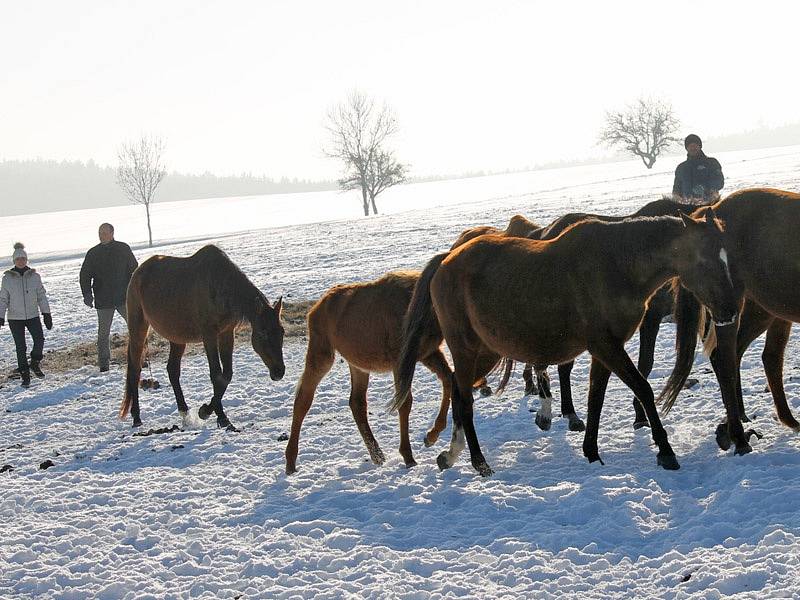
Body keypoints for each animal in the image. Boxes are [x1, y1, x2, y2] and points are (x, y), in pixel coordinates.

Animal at [286, 270, 450, 474]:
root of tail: (312, 311)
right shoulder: (400, 359)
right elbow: (404, 403)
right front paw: (408, 456)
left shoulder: (428, 353)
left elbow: (449, 379)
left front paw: (432, 435)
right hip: (321, 352)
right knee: (303, 399)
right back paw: (290, 462)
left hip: (358, 364)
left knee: (356, 402)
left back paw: (377, 454)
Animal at [394, 211, 736, 474]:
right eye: (705, 261)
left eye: (726, 258)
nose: (730, 311)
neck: (616, 265)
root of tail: (446, 260)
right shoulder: (606, 346)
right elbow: (643, 389)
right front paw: (666, 451)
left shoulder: (604, 350)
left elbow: (596, 398)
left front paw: (592, 452)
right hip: (466, 348)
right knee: (464, 399)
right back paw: (479, 463)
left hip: (486, 350)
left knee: (455, 389)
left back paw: (451, 455)